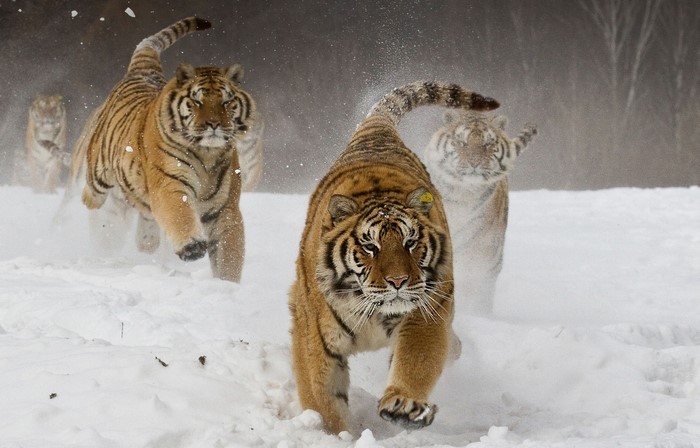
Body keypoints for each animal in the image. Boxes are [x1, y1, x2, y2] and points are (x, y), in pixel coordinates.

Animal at [79, 16, 255, 282]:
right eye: (197, 101)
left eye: (226, 101)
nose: (214, 124)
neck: (207, 154)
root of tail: (143, 70)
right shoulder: (169, 183)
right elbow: (179, 213)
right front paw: (192, 247)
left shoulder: (226, 207)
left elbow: (230, 254)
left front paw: (227, 285)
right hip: (99, 172)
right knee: (93, 196)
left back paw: (146, 241)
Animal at [288, 81, 499, 434]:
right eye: (370, 246)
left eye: (410, 243)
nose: (398, 281)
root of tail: (378, 132)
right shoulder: (313, 335)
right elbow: (323, 399)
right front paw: (335, 433)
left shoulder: (426, 314)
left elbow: (415, 363)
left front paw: (403, 406)